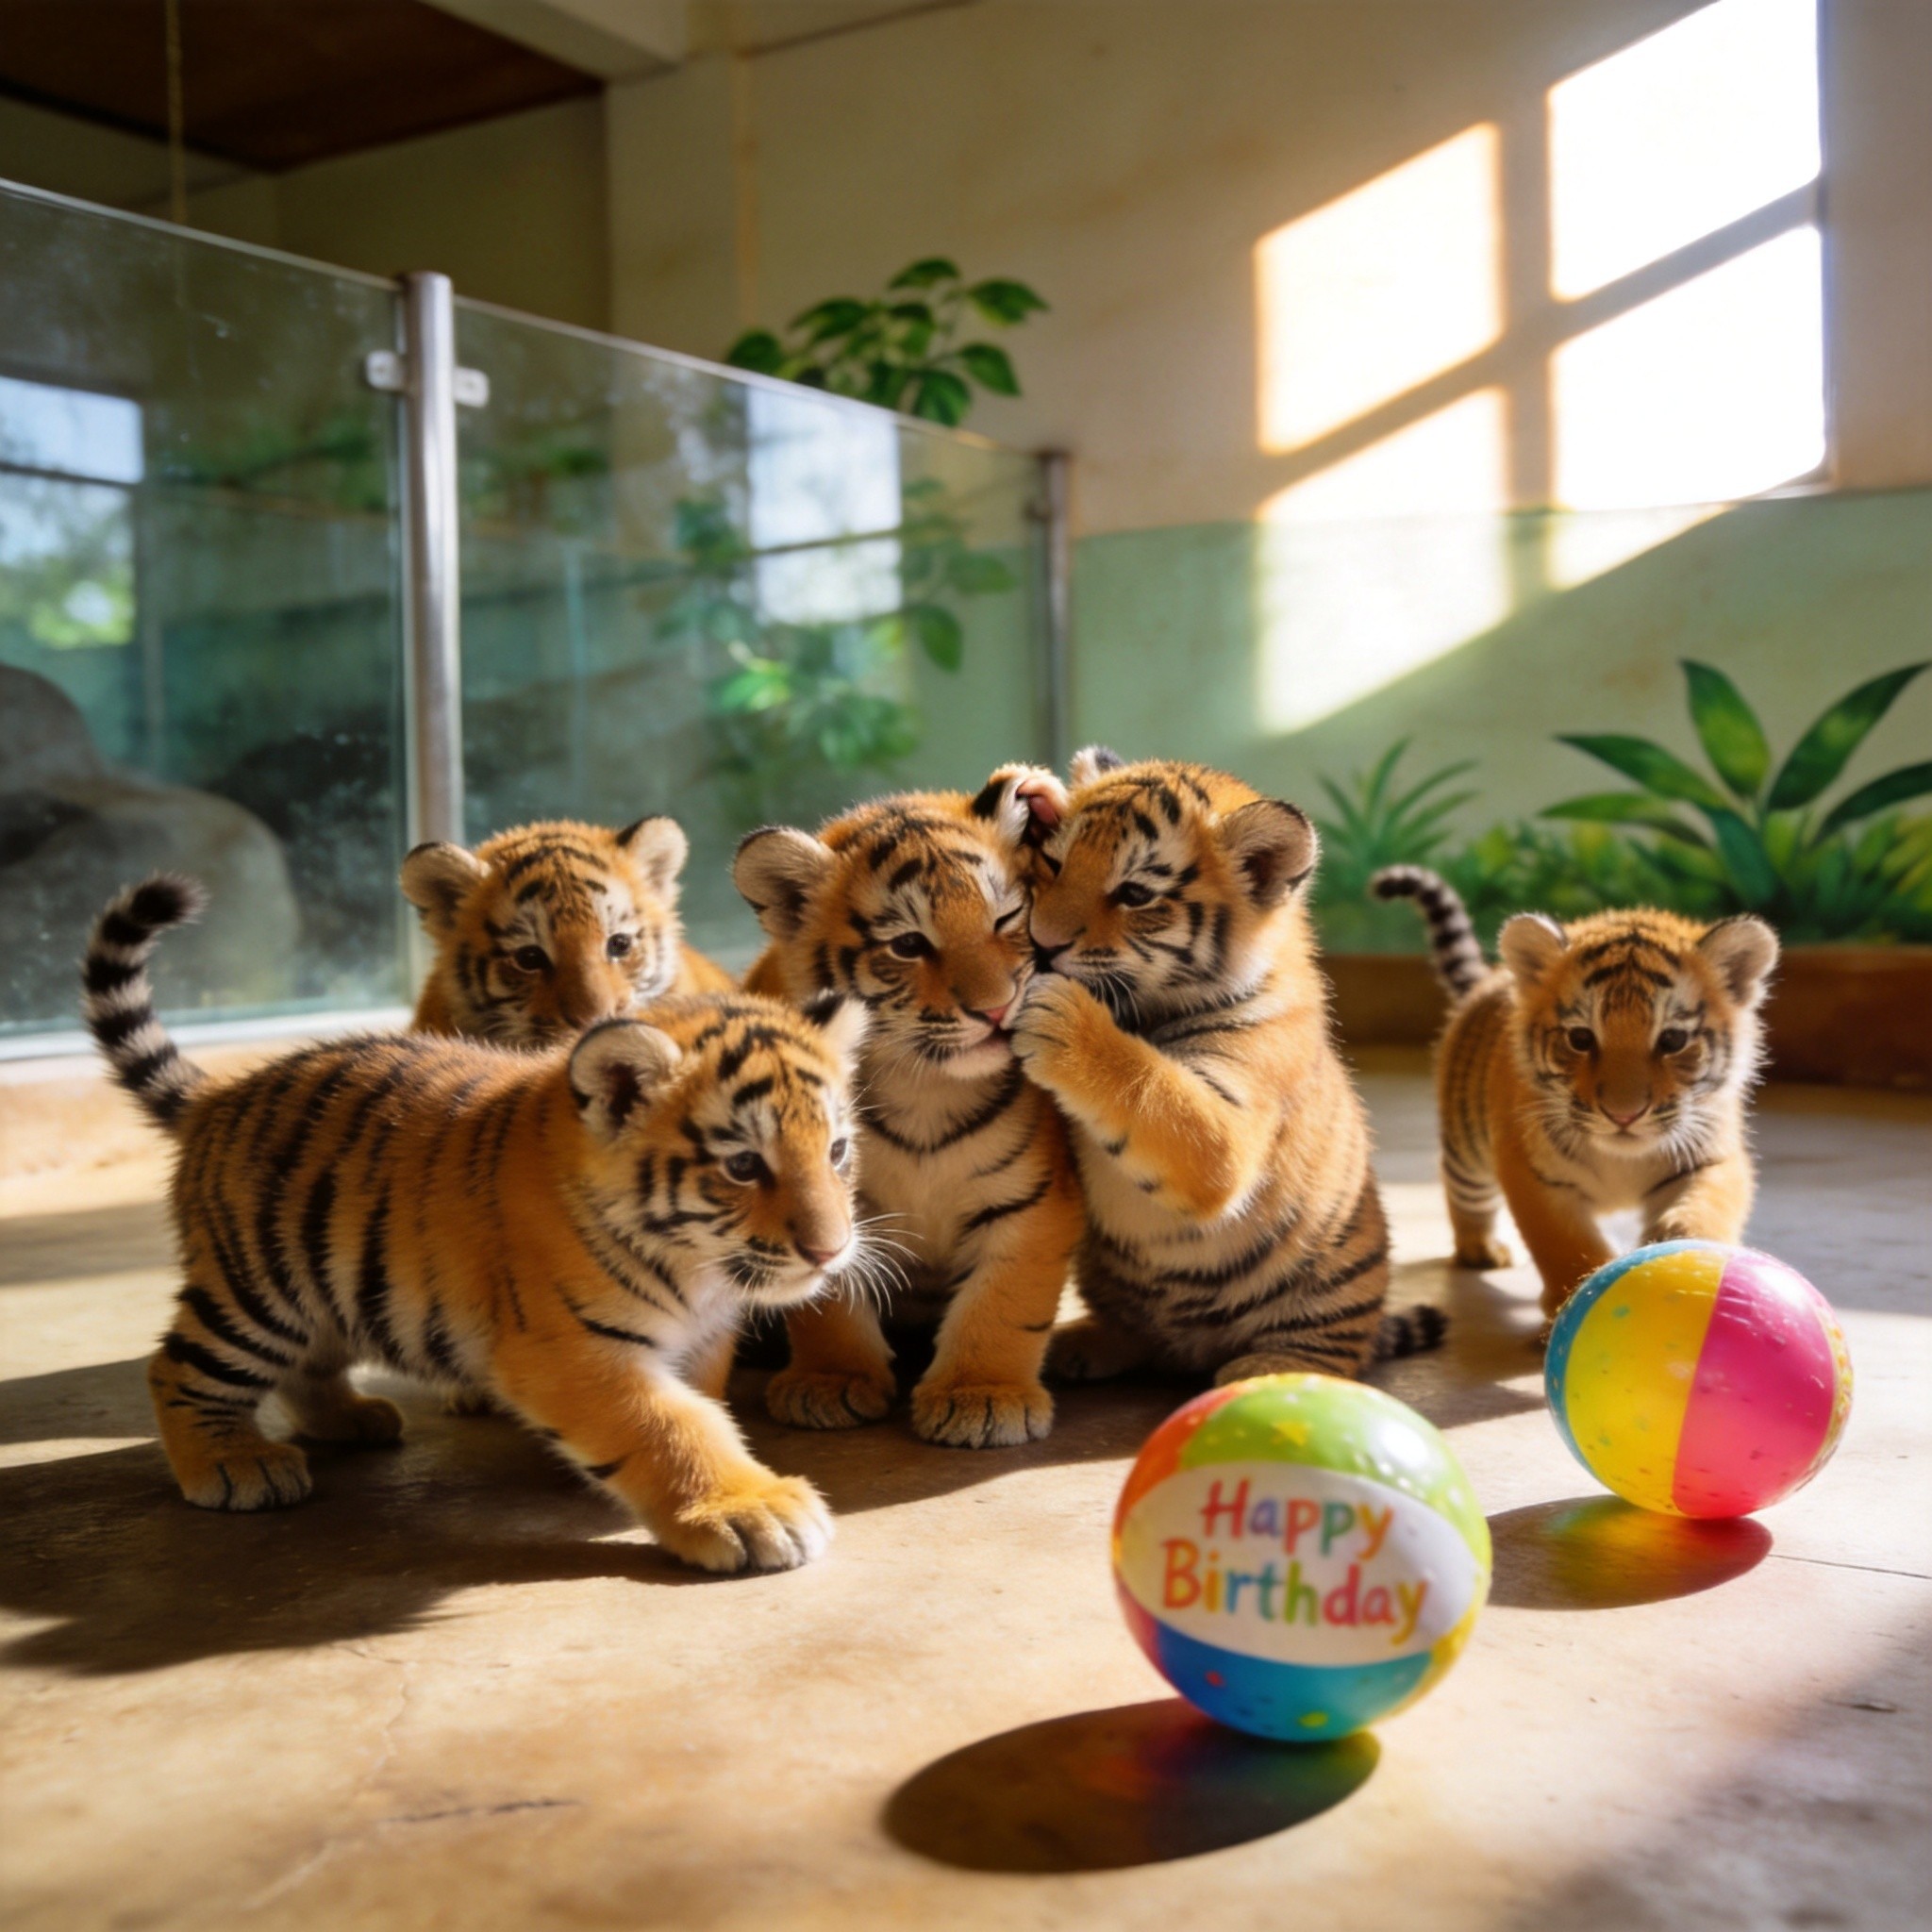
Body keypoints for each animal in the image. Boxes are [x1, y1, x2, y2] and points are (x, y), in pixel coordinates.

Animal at [83, 876, 867, 1573]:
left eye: (836, 1150)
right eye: (743, 1165)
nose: (829, 1252)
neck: (695, 1268)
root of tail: (220, 1095)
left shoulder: (698, 1340)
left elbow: (698, 1404)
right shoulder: (569, 1348)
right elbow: (671, 1425)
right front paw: (750, 1510)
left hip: (324, 1287)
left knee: (306, 1364)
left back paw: (352, 1421)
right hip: (258, 1290)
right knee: (177, 1368)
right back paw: (232, 1463)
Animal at [732, 770, 1084, 1448]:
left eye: (1007, 917)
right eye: (909, 944)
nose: (996, 1008)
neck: (928, 1087)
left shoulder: (1029, 1203)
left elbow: (1002, 1303)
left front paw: (982, 1396)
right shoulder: (826, 1196)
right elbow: (829, 1305)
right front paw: (832, 1381)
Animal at [1007, 748, 1443, 1387]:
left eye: (1134, 894)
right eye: (1054, 863)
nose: (1041, 944)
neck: (1145, 1009)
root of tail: (1194, 1348)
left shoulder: (1230, 1128)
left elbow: (1149, 1086)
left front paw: (1061, 1016)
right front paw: (1038, 791)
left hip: (1334, 1279)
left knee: (1335, 1353)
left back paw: (1269, 1370)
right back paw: (1081, 1345)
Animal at [1372, 865, 1778, 1328]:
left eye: (1673, 1040)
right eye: (1581, 1039)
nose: (1624, 1115)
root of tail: (1492, 977)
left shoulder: (1712, 1155)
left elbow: (1708, 1206)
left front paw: (1687, 1254)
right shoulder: (1530, 1173)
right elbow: (1565, 1245)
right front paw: (1574, 1301)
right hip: (1467, 1151)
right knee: (1461, 1191)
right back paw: (1481, 1249)